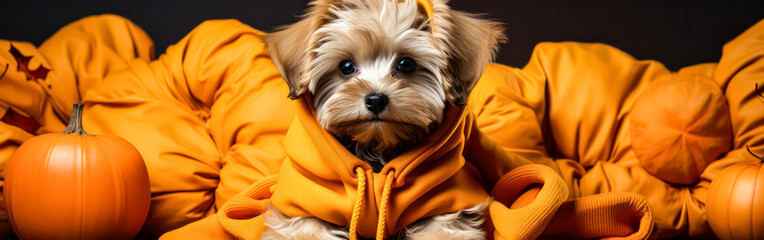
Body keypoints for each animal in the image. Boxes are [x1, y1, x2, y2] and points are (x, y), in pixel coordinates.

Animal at [260, 0, 504, 238]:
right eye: (346, 67)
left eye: (406, 64)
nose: (376, 99)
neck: (376, 148)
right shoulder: (305, 203)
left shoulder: (449, 201)